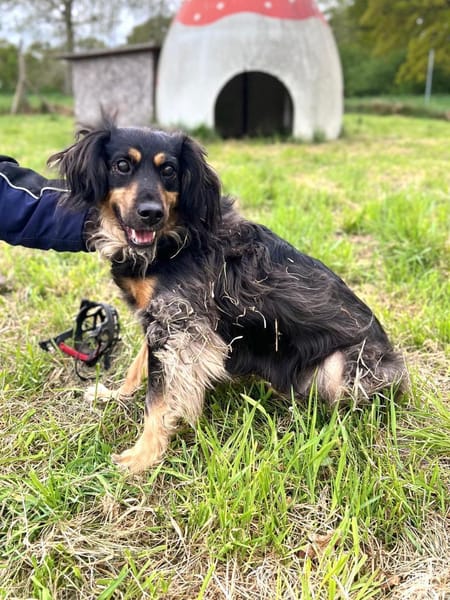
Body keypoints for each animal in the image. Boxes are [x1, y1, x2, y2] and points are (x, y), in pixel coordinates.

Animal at [49, 119, 407, 473]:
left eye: (169, 170)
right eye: (122, 166)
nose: (151, 213)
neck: (174, 239)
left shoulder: (182, 326)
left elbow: (158, 398)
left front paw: (143, 456)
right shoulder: (160, 317)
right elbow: (139, 367)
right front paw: (115, 396)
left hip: (340, 367)